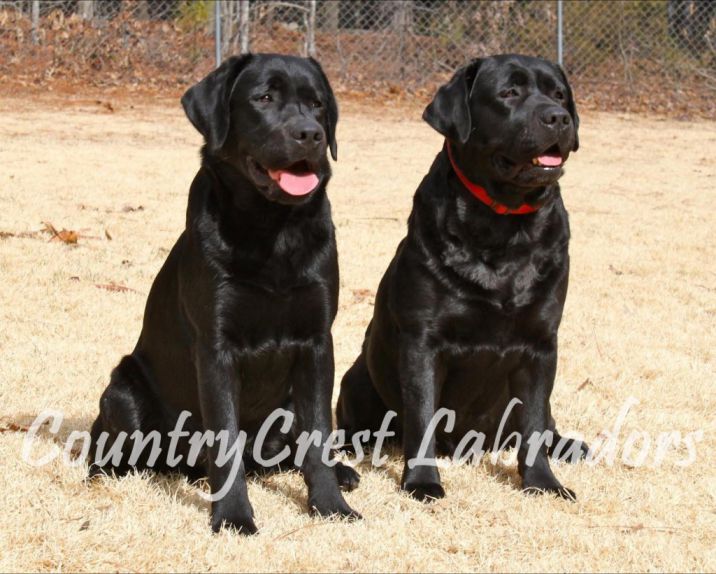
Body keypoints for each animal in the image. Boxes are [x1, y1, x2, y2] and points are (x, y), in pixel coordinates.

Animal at [87, 54, 360, 536]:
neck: (273, 231)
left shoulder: (317, 342)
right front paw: (233, 516)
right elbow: (226, 438)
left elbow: (317, 434)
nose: (311, 134)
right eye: (264, 98)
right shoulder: (215, 347)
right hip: (121, 391)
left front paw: (331, 506)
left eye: (318, 104)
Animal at [338, 55, 592, 504]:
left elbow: (533, 423)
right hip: (355, 380)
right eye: (509, 92)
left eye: (560, 94)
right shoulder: (422, 342)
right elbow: (422, 417)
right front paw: (422, 482)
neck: (504, 226)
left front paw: (543, 483)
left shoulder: (542, 344)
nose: (558, 117)